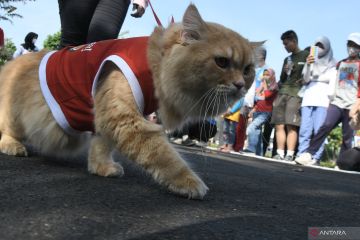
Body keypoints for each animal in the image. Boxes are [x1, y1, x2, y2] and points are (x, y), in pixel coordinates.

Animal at [0, 4, 258, 199]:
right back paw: (13, 146)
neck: (155, 63)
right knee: (8, 130)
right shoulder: (127, 119)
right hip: (17, 116)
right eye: (222, 62)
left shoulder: (110, 117)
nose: (241, 85)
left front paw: (101, 168)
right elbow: (165, 156)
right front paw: (189, 182)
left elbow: (102, 146)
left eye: (247, 70)